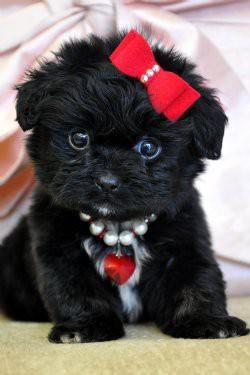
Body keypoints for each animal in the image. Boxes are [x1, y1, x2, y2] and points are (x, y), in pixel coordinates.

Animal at [0, 30, 248, 344]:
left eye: (149, 148)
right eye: (79, 138)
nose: (108, 181)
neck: (119, 228)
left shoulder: (186, 242)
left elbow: (196, 281)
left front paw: (205, 320)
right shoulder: (58, 248)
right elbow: (75, 288)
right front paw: (86, 326)